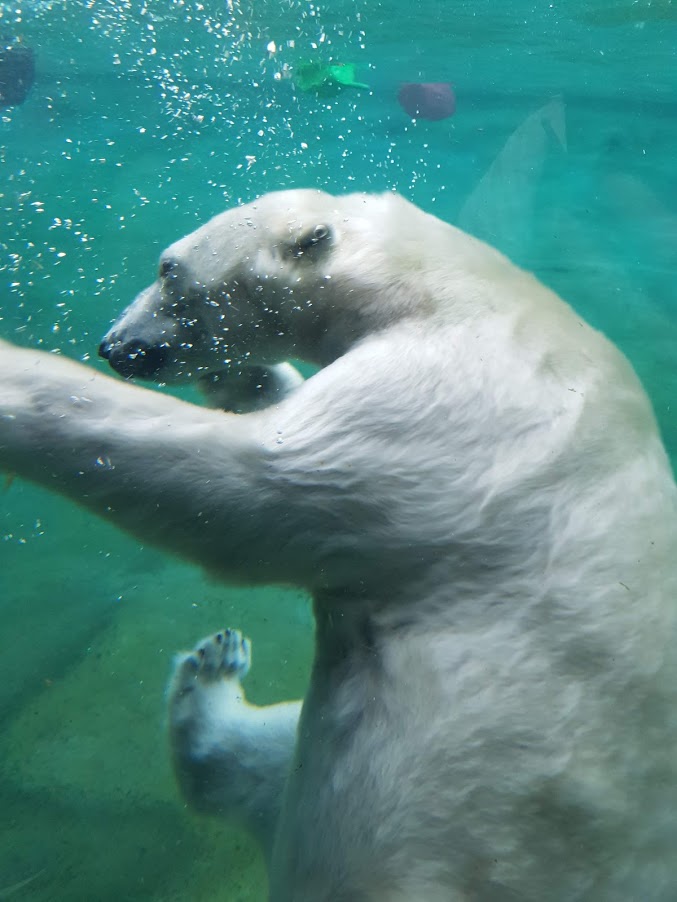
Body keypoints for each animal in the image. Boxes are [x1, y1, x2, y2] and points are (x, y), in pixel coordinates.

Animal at [1, 188, 677, 901]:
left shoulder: (456, 399)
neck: (446, 286)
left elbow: (251, 485)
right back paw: (212, 668)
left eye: (168, 269)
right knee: (268, 763)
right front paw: (244, 379)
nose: (117, 346)